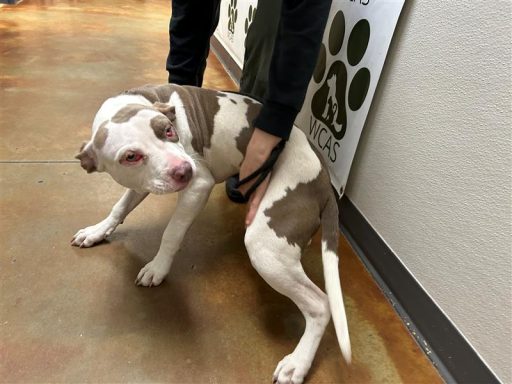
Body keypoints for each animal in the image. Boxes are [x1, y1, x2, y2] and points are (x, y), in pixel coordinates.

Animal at [72, 85, 350, 384]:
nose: (184, 170)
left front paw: (158, 267)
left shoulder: (198, 186)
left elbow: (172, 233)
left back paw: (297, 364)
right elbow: (120, 206)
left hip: (265, 247)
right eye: (131, 157)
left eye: (168, 130)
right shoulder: (142, 183)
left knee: (320, 305)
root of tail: (325, 182)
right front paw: (97, 231)